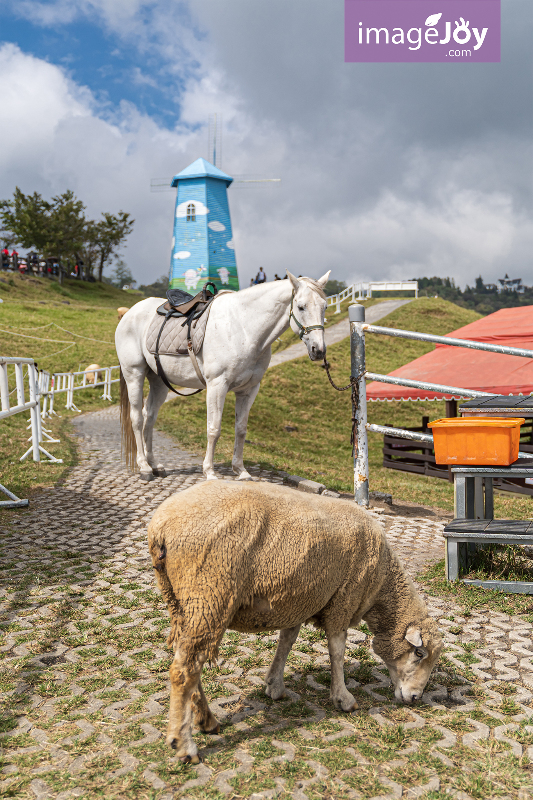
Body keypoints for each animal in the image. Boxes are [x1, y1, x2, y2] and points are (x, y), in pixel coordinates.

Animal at [116, 268, 328, 482]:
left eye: (324, 307)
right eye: (301, 307)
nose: (318, 350)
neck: (243, 328)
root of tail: (129, 313)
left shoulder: (249, 390)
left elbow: (241, 430)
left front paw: (240, 470)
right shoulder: (217, 386)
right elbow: (214, 429)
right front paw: (209, 472)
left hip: (159, 381)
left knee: (150, 416)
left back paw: (154, 464)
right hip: (134, 374)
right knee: (137, 418)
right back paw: (144, 467)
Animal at [148, 478, 442, 760]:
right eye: (419, 653)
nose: (415, 698)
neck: (381, 583)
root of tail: (160, 526)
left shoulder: (297, 600)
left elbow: (287, 642)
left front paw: (274, 685)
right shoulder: (343, 600)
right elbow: (337, 651)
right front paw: (343, 698)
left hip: (182, 602)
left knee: (188, 660)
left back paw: (206, 720)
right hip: (210, 593)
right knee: (184, 669)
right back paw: (184, 745)